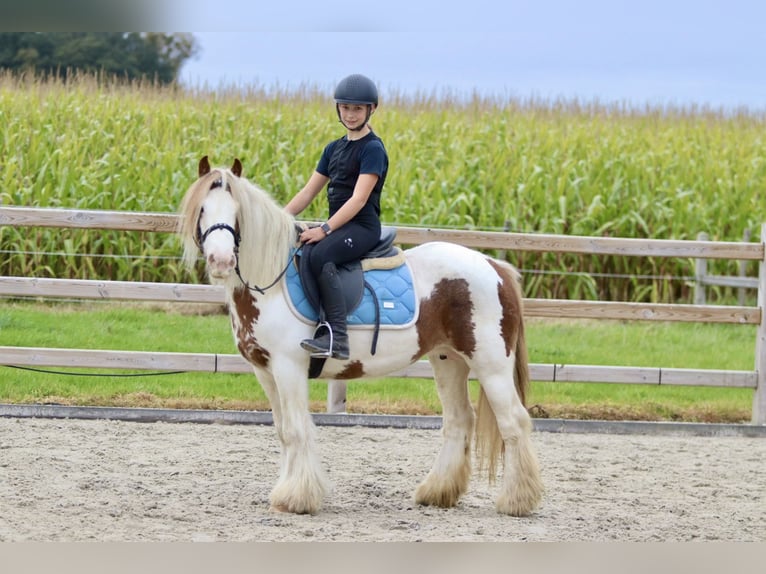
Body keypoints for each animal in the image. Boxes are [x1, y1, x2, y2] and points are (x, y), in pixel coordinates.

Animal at [178, 156, 544, 516]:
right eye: (202, 209)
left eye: (236, 211)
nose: (221, 261)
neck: (272, 282)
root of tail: (495, 267)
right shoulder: (265, 371)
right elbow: (283, 432)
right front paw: (287, 491)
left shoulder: (288, 367)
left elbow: (296, 429)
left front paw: (297, 498)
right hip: (448, 360)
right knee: (459, 420)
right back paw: (437, 492)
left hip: (491, 365)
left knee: (514, 422)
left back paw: (516, 501)